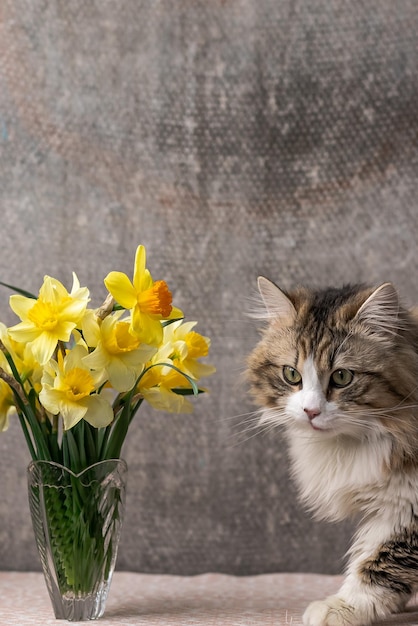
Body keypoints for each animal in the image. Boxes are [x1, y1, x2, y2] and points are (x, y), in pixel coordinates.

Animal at [247, 278, 418, 624]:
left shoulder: (406, 505)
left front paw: (344, 607)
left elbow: (380, 562)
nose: (311, 411)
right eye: (291, 374)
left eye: (342, 376)